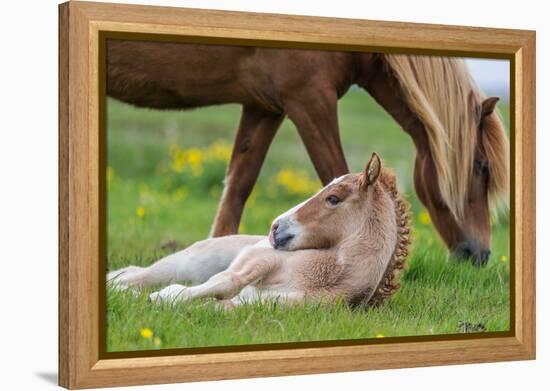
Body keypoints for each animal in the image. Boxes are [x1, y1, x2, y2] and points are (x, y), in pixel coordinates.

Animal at [108, 154, 412, 310]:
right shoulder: (258, 260)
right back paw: (120, 288)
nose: (275, 228)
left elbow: (217, 304)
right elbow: (227, 281)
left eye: (333, 198)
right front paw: (162, 296)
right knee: (138, 275)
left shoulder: (259, 306)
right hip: (187, 264)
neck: (326, 277)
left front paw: (160, 300)